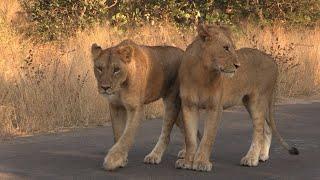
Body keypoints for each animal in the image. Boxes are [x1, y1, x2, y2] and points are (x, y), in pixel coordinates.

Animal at [90, 39, 188, 170]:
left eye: (116, 69)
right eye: (99, 68)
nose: (105, 87)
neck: (120, 87)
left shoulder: (136, 108)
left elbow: (127, 136)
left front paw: (113, 159)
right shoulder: (115, 107)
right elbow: (118, 134)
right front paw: (122, 159)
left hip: (172, 101)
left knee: (166, 134)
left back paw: (154, 156)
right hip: (177, 111)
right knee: (185, 128)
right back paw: (185, 152)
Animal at [175, 23, 298, 172]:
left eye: (233, 48)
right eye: (226, 48)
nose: (238, 66)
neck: (202, 73)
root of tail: (272, 60)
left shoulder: (215, 108)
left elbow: (208, 137)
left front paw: (202, 163)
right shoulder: (188, 106)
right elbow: (190, 138)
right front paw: (187, 162)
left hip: (257, 100)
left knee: (259, 130)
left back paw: (251, 158)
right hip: (249, 101)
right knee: (266, 127)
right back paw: (262, 155)